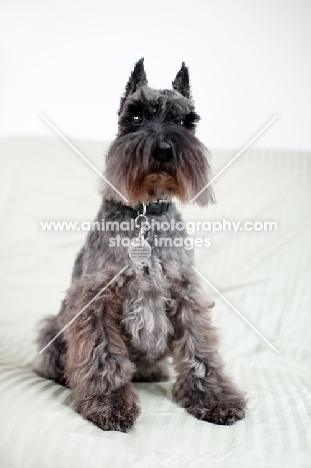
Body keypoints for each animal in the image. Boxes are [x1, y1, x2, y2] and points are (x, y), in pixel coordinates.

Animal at [36, 57, 246, 432]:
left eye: (185, 120)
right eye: (134, 117)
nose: (163, 149)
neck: (146, 213)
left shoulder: (184, 293)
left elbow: (199, 349)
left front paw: (215, 397)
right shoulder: (98, 298)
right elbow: (102, 353)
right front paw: (108, 403)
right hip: (53, 327)